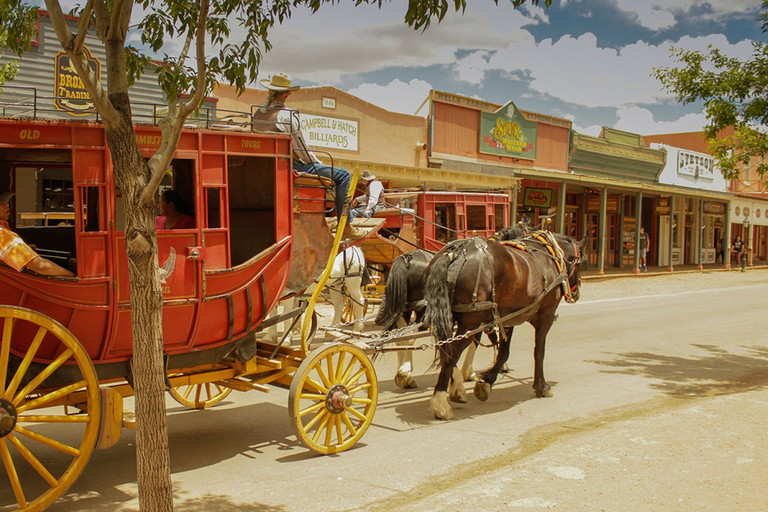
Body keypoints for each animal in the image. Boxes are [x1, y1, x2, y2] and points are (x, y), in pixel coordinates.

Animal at [426, 232, 584, 420]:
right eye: (581, 261)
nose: (577, 291)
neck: (550, 256)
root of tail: (455, 253)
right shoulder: (546, 316)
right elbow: (539, 352)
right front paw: (541, 386)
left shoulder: (508, 317)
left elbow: (504, 352)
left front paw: (487, 381)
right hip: (469, 323)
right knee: (450, 355)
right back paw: (441, 402)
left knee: (446, 351)